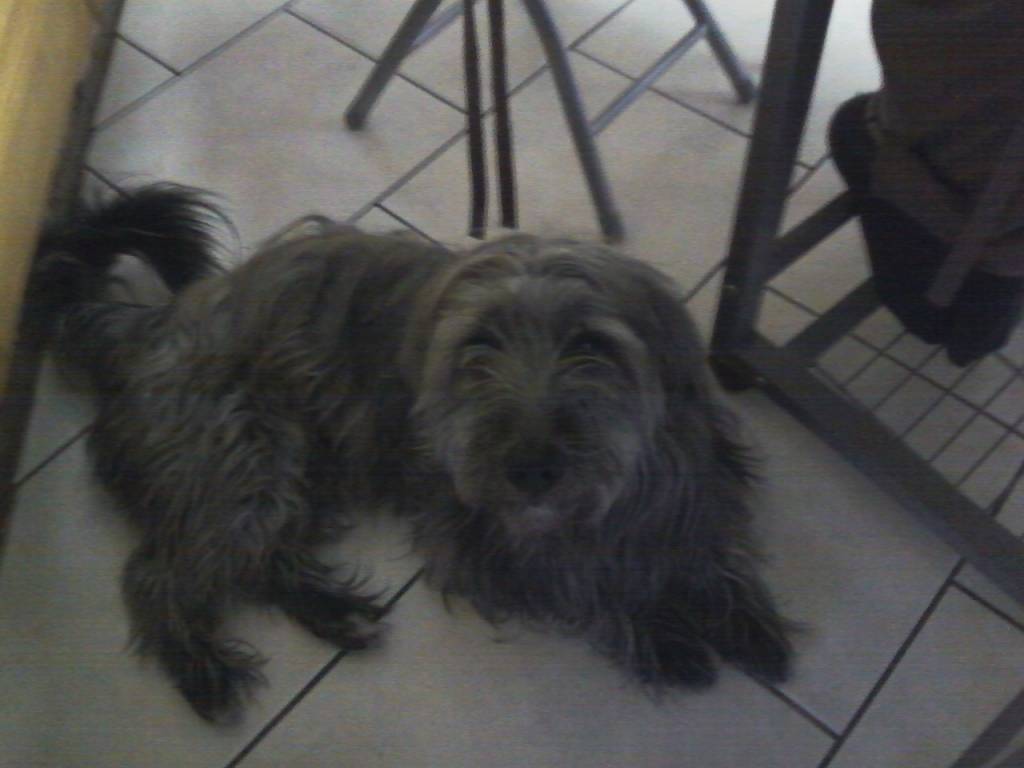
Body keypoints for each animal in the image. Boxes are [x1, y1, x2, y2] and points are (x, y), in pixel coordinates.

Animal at [30, 184, 793, 721]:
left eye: (591, 345)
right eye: (478, 345)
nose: (531, 472)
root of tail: (149, 325)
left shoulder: (695, 477)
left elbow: (706, 542)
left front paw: (737, 613)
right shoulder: (482, 538)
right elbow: (583, 582)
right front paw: (661, 632)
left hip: (303, 464)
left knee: (258, 559)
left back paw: (333, 610)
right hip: (244, 451)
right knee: (160, 572)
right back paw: (202, 668)